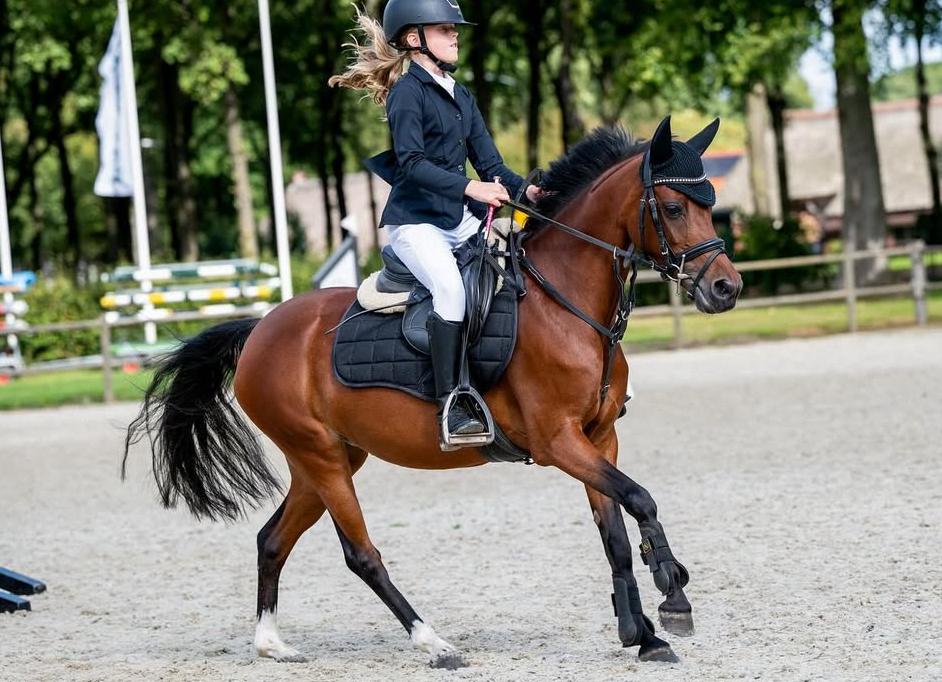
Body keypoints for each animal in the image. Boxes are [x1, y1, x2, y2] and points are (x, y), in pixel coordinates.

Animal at [124, 115, 742, 668]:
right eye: (673, 208)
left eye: (710, 202)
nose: (726, 288)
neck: (566, 304)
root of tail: (259, 330)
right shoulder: (558, 442)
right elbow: (640, 498)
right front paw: (673, 594)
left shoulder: (599, 438)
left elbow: (613, 529)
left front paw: (642, 635)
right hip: (320, 457)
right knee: (361, 554)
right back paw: (434, 644)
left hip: (327, 458)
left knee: (272, 539)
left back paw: (271, 644)